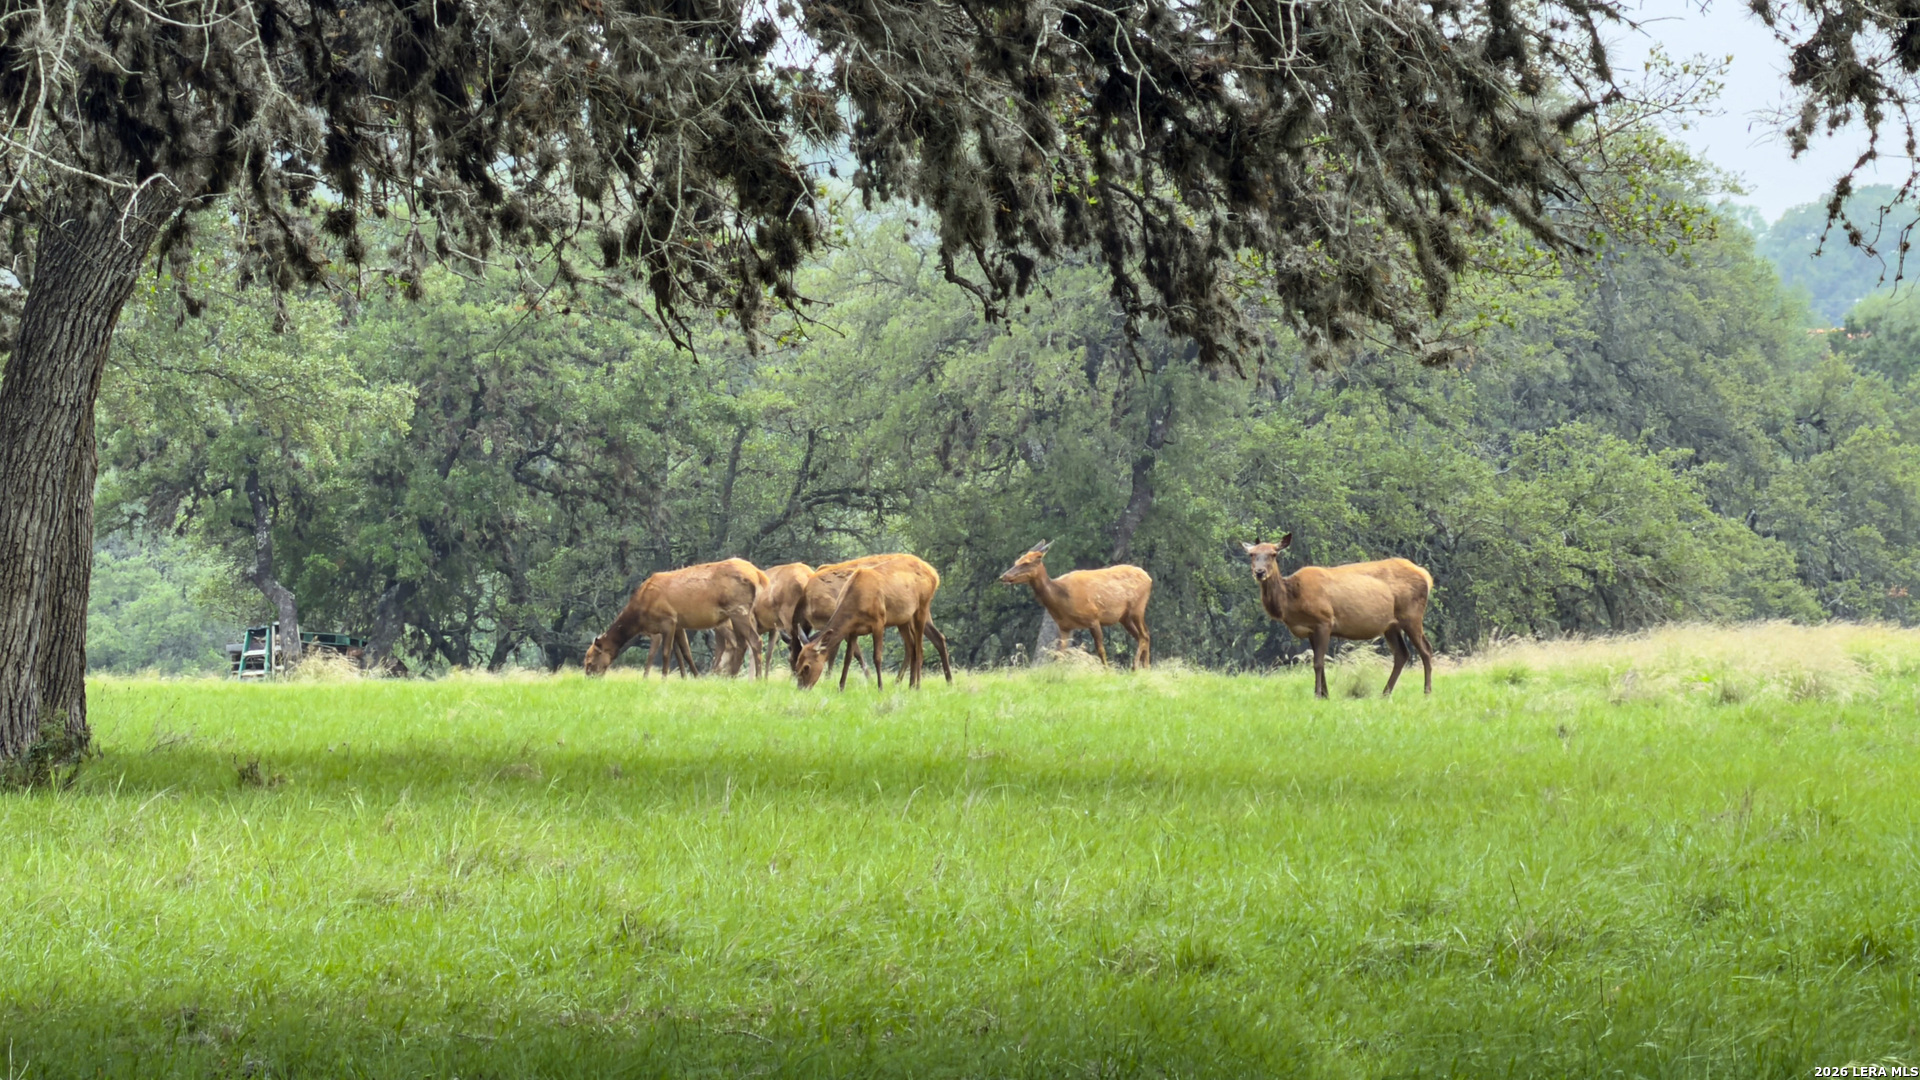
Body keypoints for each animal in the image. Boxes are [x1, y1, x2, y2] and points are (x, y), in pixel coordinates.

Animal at [584, 558, 766, 677]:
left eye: (590, 661)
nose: (589, 678)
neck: (639, 614)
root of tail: (757, 574)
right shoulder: (679, 625)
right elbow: (684, 653)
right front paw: (692, 677)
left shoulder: (668, 621)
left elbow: (666, 653)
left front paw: (663, 679)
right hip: (737, 615)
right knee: (741, 644)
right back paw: (733, 677)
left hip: (739, 611)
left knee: (754, 641)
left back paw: (757, 678)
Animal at [794, 553, 953, 688]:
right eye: (797, 664)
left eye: (807, 667)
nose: (802, 688)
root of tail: (935, 574)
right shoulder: (853, 630)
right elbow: (848, 658)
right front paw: (841, 687)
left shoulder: (879, 622)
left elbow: (877, 657)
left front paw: (880, 687)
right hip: (903, 618)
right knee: (913, 647)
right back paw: (911, 684)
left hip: (922, 607)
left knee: (921, 648)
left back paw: (918, 686)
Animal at [998, 541, 1153, 668]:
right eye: (1017, 561)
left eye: (1027, 563)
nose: (1003, 577)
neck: (1061, 599)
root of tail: (1149, 577)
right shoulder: (1064, 626)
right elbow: (1059, 654)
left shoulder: (1093, 618)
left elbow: (1100, 650)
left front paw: (1108, 671)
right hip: (1124, 617)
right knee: (1142, 635)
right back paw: (1145, 668)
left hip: (1137, 608)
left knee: (1144, 635)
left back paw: (1135, 666)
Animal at [1243, 535, 1434, 698]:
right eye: (1252, 554)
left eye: (1273, 554)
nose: (1259, 572)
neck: (1292, 601)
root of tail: (1426, 576)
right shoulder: (1311, 629)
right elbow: (1319, 661)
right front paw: (1325, 695)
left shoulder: (1324, 621)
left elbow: (1318, 663)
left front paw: (1318, 695)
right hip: (1391, 625)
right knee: (1402, 654)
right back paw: (1385, 694)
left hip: (1412, 615)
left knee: (1426, 649)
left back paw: (1426, 693)